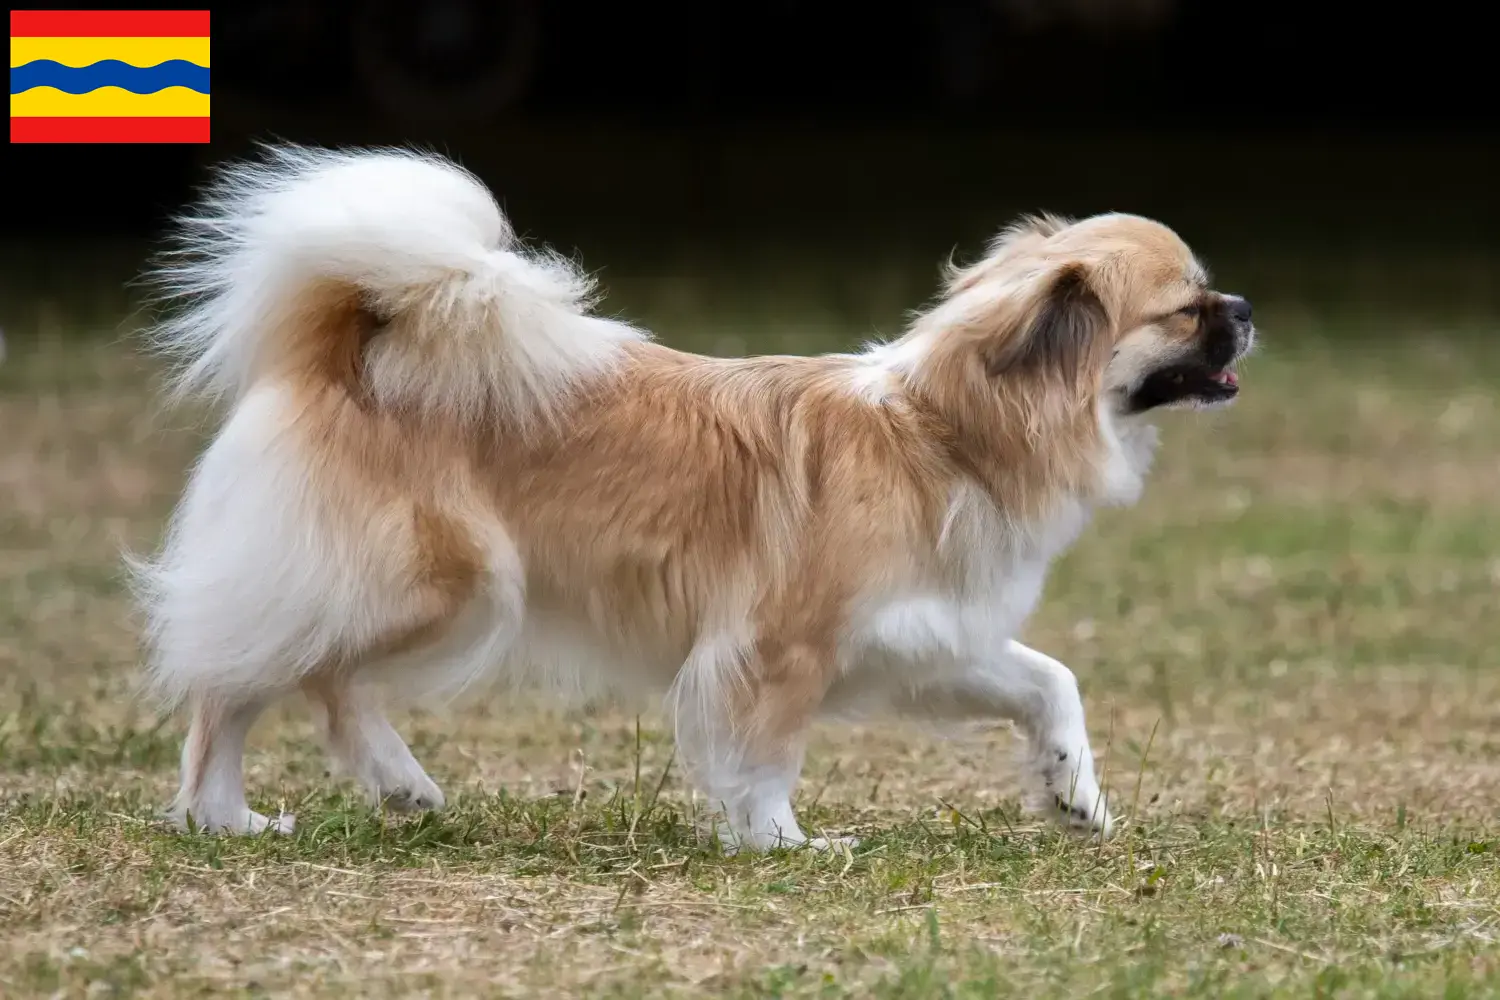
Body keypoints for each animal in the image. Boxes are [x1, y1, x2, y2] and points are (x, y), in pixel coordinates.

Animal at [132, 146, 1254, 851]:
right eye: (1185, 307)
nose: (1245, 307)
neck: (945, 434)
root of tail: (345, 348)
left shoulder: (929, 639)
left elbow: (1049, 683)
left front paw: (1075, 794)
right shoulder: (776, 648)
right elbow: (767, 755)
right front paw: (785, 843)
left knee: (316, 683)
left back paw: (375, 788)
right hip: (440, 587)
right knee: (246, 683)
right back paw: (228, 815)